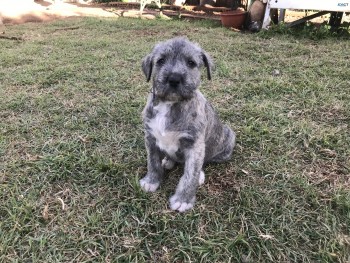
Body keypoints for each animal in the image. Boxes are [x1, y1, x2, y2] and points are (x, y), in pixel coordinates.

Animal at [139, 37, 235, 213]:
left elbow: (190, 174)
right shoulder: (150, 138)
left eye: (191, 63)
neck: (170, 104)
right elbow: (152, 162)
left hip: (227, 138)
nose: (174, 79)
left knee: (205, 161)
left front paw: (183, 199)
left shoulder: (194, 145)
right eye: (160, 60)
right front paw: (151, 181)